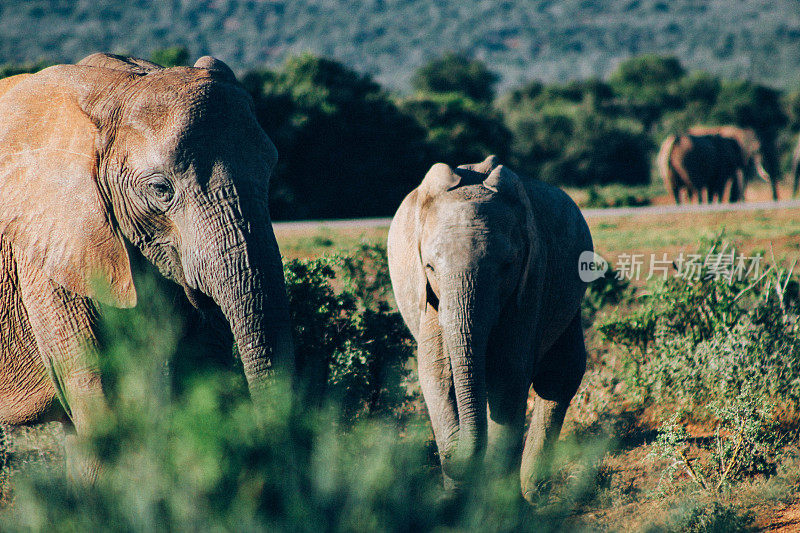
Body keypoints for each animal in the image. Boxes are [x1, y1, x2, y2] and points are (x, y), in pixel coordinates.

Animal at [388, 155, 592, 502]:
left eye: (507, 267)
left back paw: (533, 493)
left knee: (559, 376)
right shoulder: (427, 298)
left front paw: (500, 501)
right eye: (430, 267)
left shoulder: (531, 283)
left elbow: (508, 375)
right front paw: (455, 501)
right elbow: (436, 376)